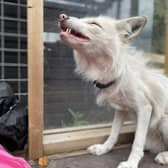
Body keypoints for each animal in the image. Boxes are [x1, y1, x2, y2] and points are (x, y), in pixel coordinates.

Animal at [58, 13, 168, 167]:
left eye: (94, 24)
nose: (62, 16)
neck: (118, 75)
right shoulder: (121, 109)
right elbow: (113, 133)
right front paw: (104, 149)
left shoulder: (145, 107)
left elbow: (137, 142)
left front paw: (131, 163)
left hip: (164, 121)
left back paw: (164, 156)